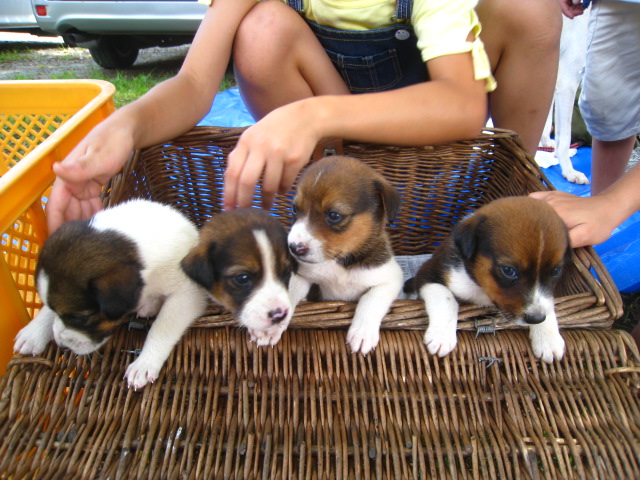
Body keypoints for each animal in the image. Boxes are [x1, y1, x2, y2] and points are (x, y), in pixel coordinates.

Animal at [13, 199, 208, 390]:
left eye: (81, 318)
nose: (62, 346)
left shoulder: (187, 293)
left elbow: (161, 328)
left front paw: (144, 363)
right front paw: (34, 331)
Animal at [288, 156, 402, 354]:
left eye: (334, 215)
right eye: (295, 209)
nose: (294, 248)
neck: (339, 262)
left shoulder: (390, 278)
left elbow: (370, 299)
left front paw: (363, 333)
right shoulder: (302, 274)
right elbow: (289, 292)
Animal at [404, 197, 568, 362]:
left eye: (556, 271)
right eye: (509, 270)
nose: (536, 319)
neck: (480, 286)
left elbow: (548, 303)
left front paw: (548, 339)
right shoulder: (428, 273)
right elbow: (446, 298)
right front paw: (442, 336)